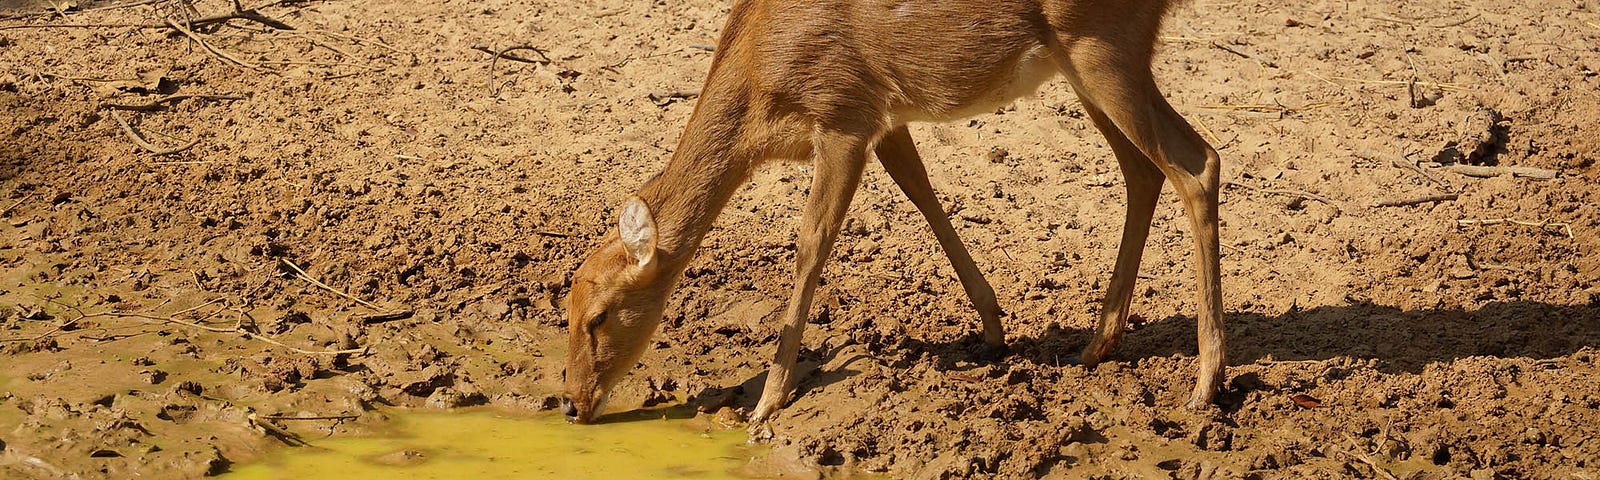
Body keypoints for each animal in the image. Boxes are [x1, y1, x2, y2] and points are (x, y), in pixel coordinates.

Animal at [560, 0, 1222, 422]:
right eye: (564, 304)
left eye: (597, 316)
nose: (570, 403)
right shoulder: (885, 118)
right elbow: (921, 191)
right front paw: (993, 328)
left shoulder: (842, 114)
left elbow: (812, 242)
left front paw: (767, 402)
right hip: (1089, 65)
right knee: (1143, 171)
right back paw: (1097, 344)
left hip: (1103, 48)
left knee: (1197, 163)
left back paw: (1205, 383)